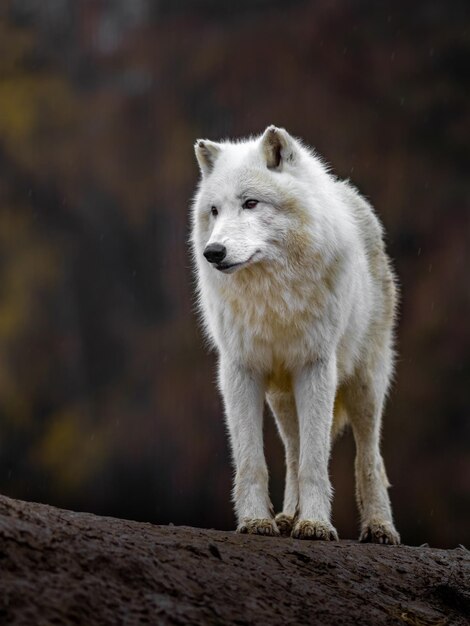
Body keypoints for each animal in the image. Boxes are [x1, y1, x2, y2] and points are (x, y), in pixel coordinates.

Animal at [191, 123, 400, 540]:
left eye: (251, 203)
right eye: (214, 211)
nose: (213, 252)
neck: (272, 297)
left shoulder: (316, 368)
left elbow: (315, 463)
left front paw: (316, 524)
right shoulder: (240, 370)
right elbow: (253, 461)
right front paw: (256, 521)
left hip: (365, 385)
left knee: (369, 457)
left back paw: (379, 527)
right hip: (282, 398)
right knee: (291, 451)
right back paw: (287, 516)